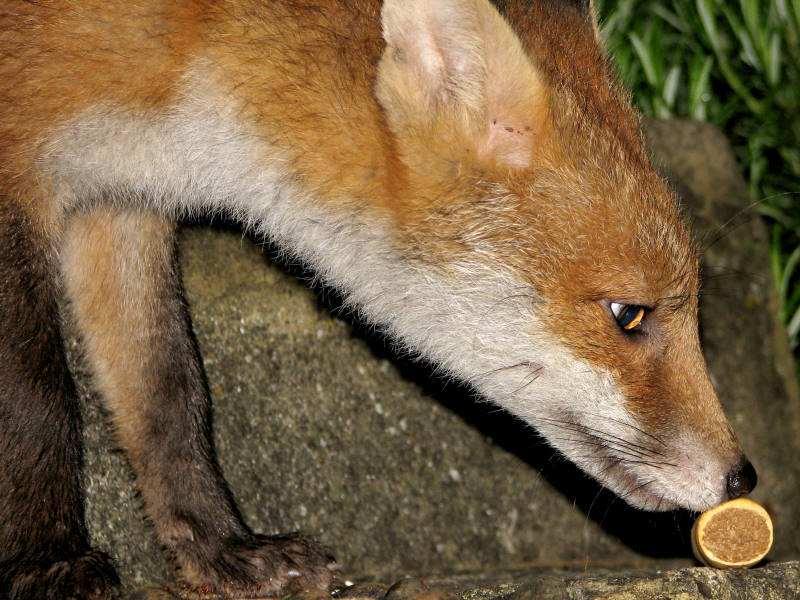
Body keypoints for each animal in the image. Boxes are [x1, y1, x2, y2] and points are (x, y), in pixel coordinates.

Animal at [0, 0, 758, 597]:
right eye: (629, 314)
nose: (742, 479)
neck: (200, 47)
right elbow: (37, 400)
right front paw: (51, 562)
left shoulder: (121, 197)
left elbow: (169, 393)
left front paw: (222, 551)